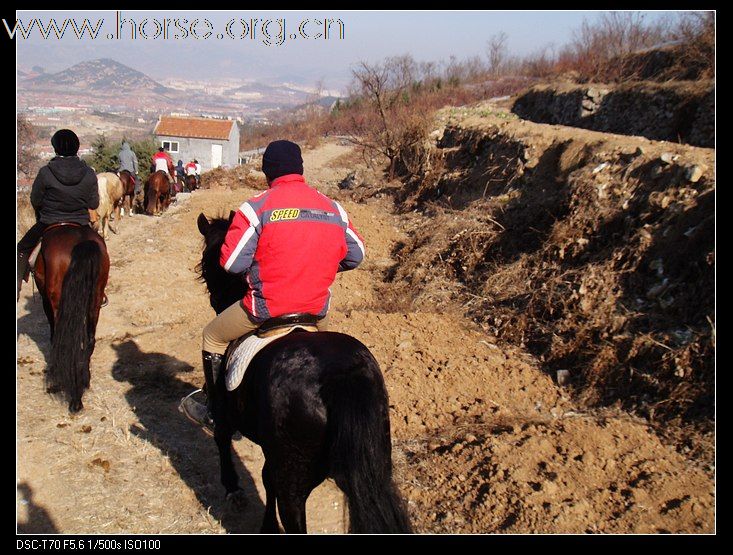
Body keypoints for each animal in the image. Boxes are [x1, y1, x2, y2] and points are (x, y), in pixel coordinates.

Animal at [33, 223, 110, 412]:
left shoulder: (46, 300)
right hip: (95, 299)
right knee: (89, 340)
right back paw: (84, 382)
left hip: (57, 301)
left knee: (66, 342)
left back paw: (73, 396)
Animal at [194, 213, 412, 536]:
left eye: (208, 264)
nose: (216, 300)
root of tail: (342, 375)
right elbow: (266, 477)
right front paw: (267, 526)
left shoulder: (226, 413)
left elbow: (222, 438)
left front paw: (233, 490)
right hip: (372, 464)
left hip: (294, 479)